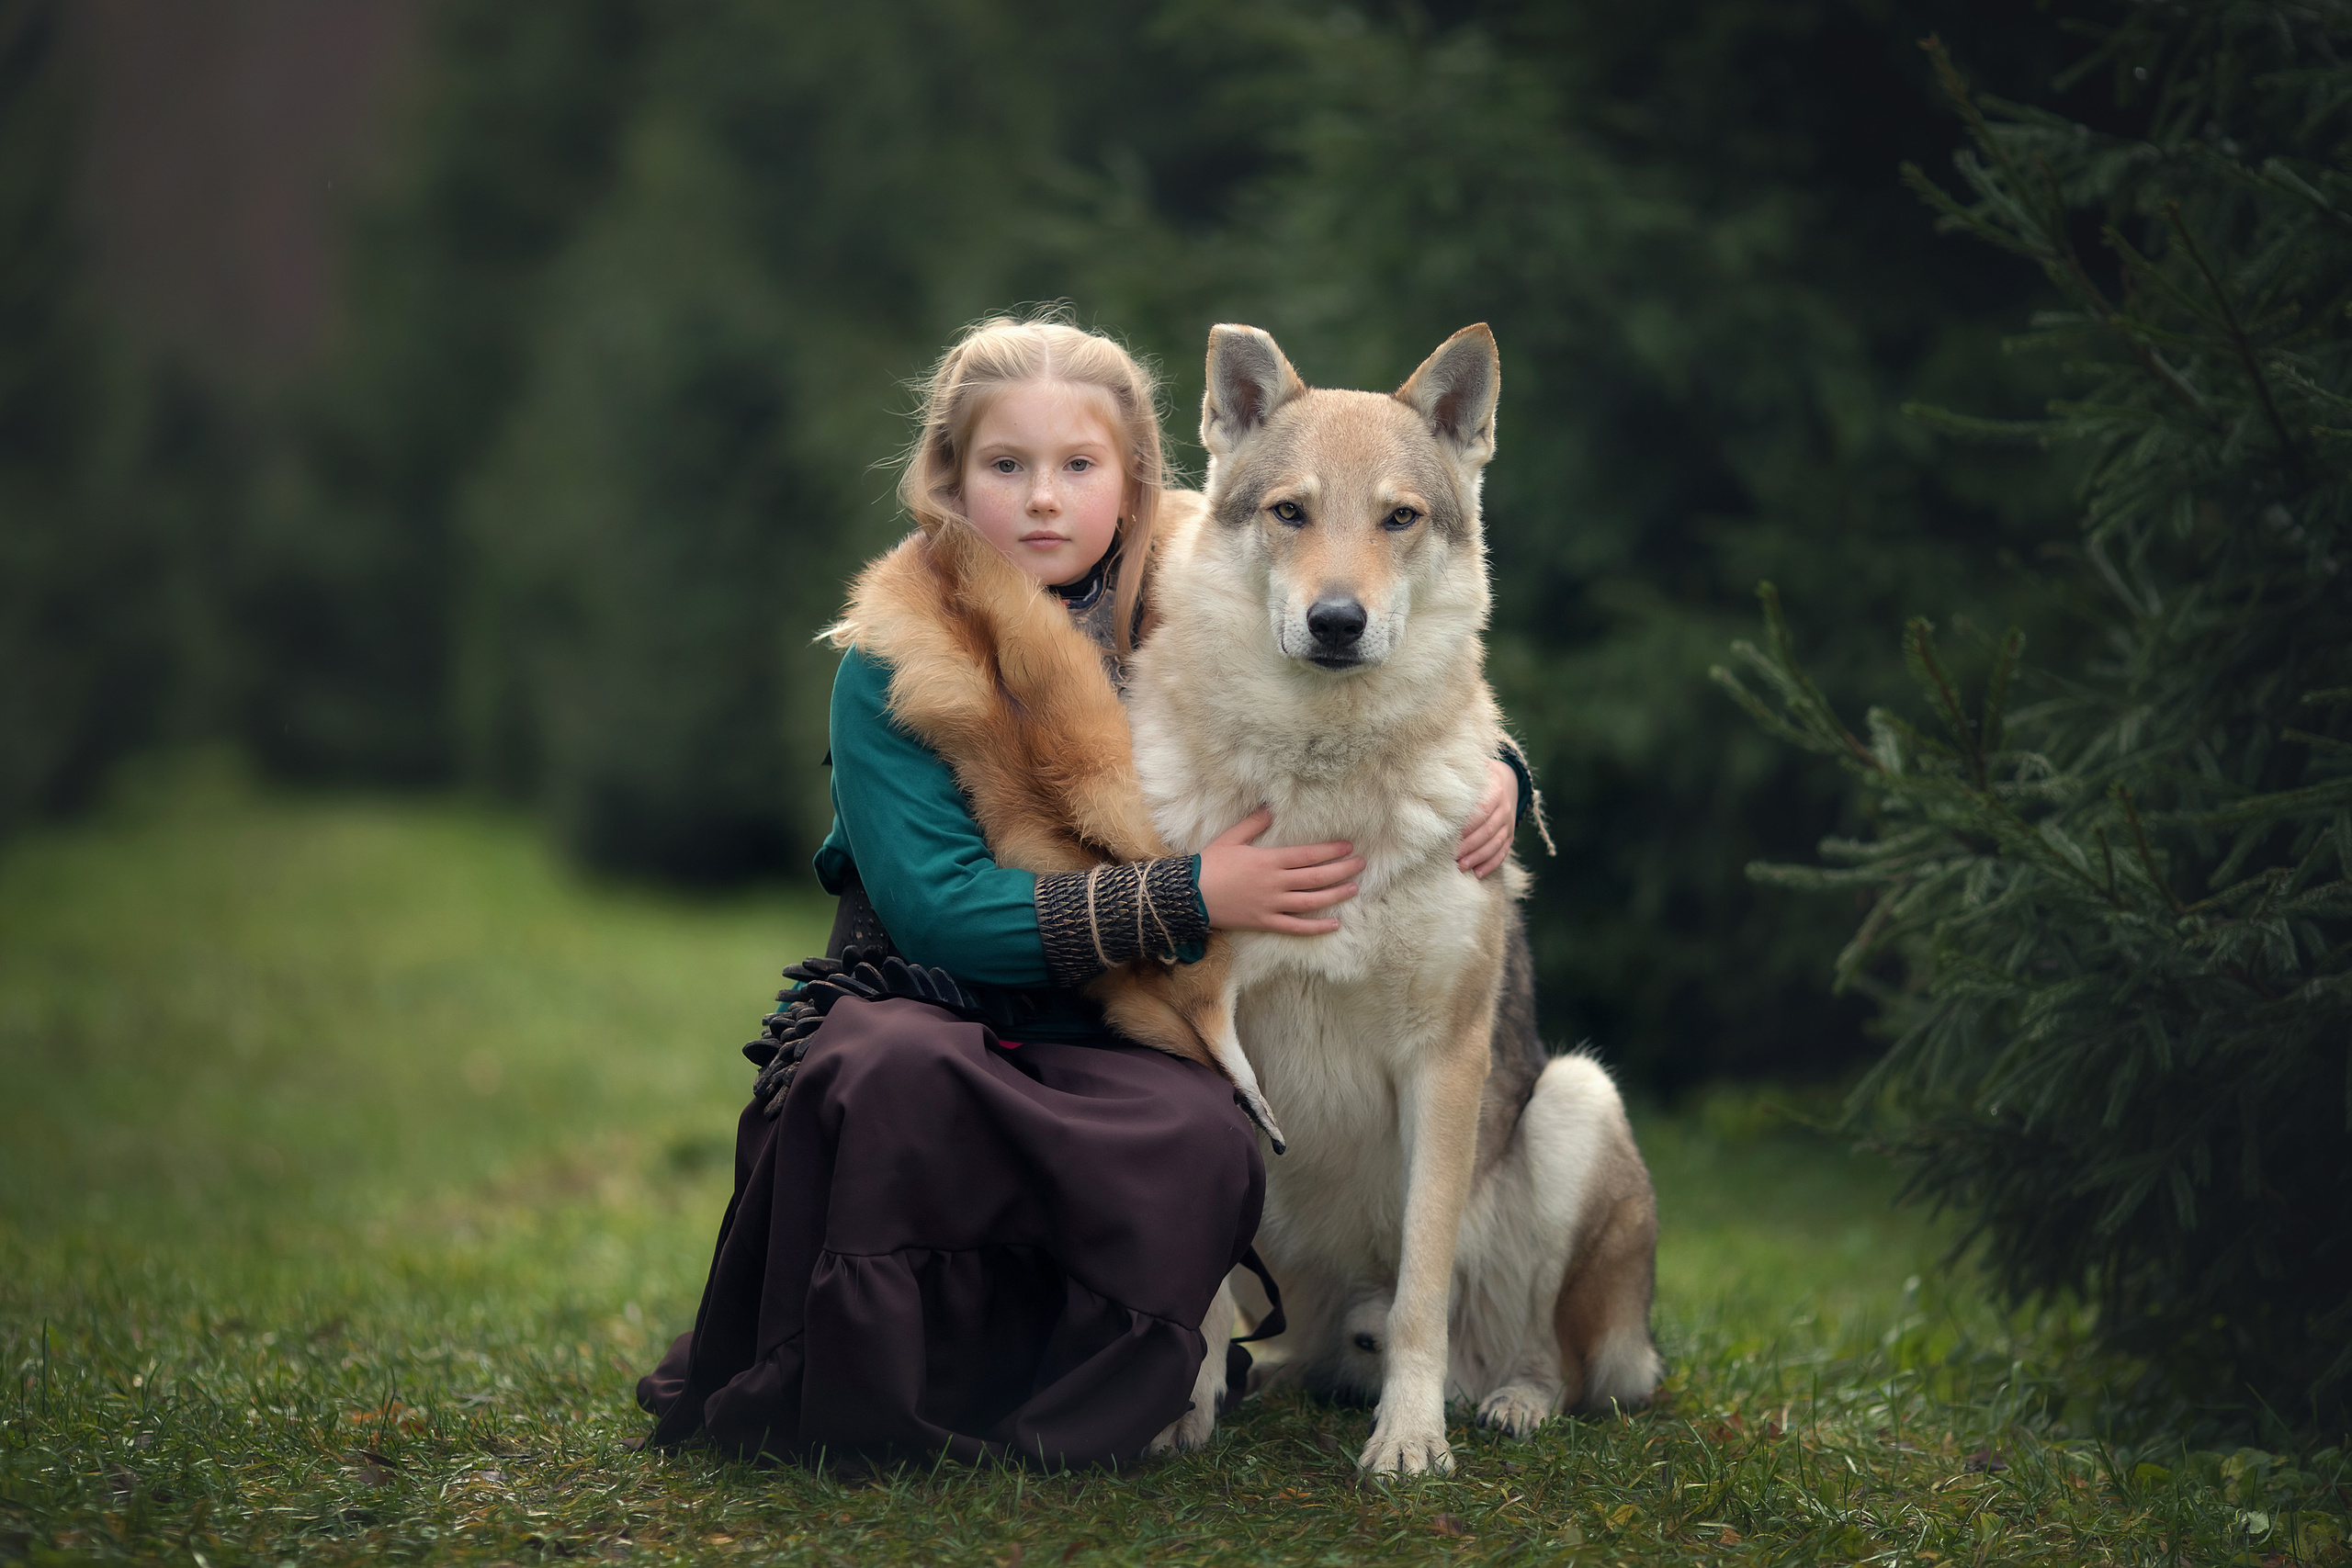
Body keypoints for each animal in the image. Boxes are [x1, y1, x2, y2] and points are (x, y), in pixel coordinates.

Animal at [1127, 324, 1663, 1474]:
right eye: (1290, 512)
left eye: (1398, 518)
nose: (1337, 621)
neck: (1324, 785)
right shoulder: (1206, 1037)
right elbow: (1199, 1287)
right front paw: (1179, 1413)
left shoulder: (1442, 1058)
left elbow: (1423, 1285)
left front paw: (1410, 1444)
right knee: (1291, 1343)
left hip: (1576, 1101)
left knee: (1549, 1362)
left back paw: (1504, 1404)